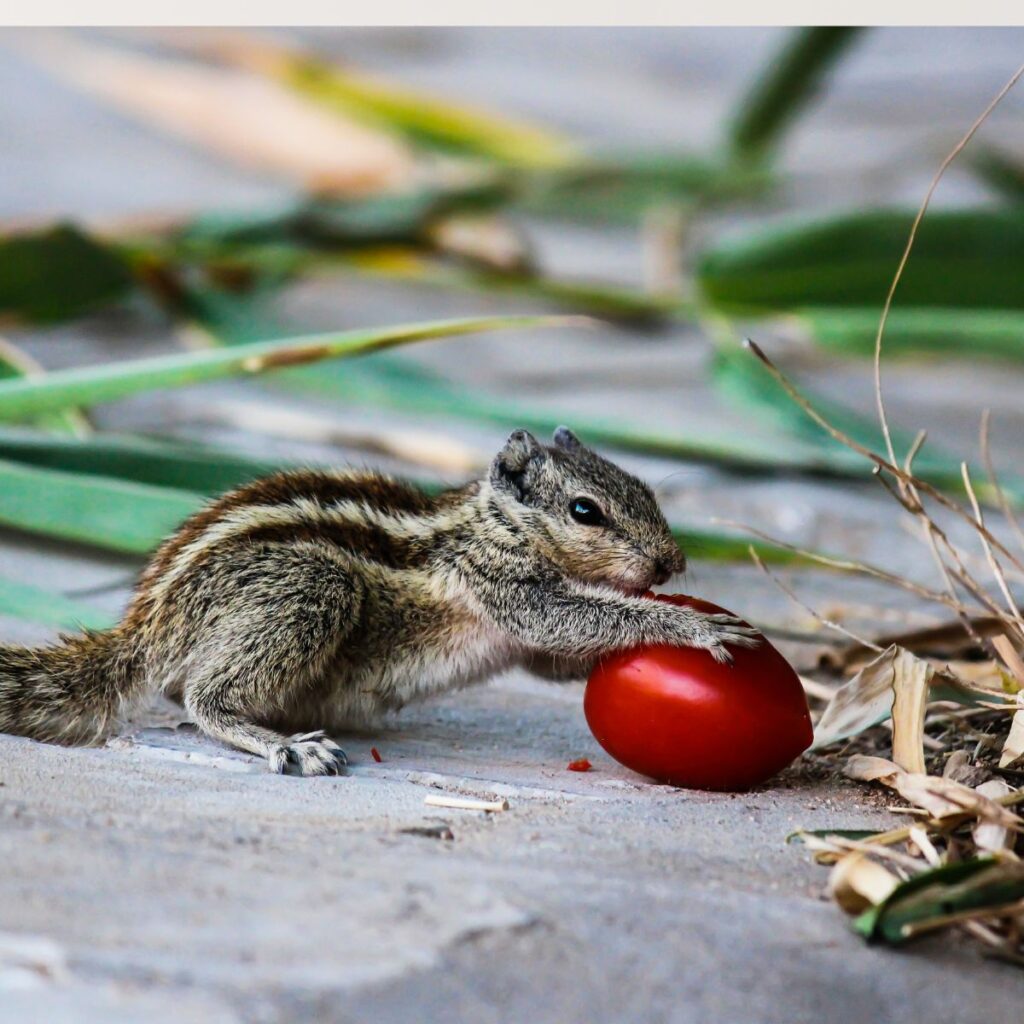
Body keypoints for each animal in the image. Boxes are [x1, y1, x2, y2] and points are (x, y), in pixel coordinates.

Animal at [0, 427, 757, 776]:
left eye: (646, 488)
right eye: (584, 510)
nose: (671, 563)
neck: (496, 522)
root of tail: (147, 625)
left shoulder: (522, 633)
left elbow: (553, 659)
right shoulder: (503, 585)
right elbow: (570, 617)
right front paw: (694, 626)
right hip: (310, 588)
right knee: (202, 700)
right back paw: (284, 743)